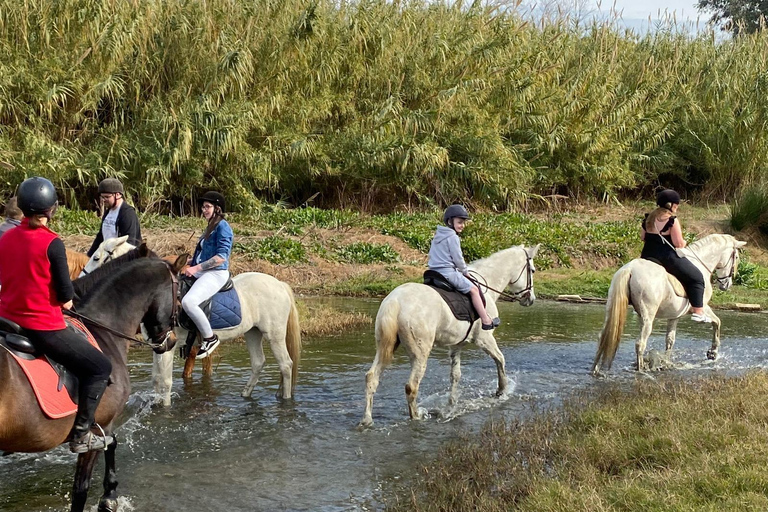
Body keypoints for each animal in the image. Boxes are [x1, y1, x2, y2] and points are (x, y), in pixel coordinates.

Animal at [0, 254, 185, 510]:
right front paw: (109, 497)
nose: (172, 341)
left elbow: (112, 444)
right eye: (179, 297)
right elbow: (82, 486)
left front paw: (110, 495)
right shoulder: (100, 426)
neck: (103, 328)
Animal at [152, 270, 302, 406]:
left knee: (286, 365)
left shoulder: (168, 348)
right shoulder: (158, 347)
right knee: (258, 362)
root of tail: (279, 284)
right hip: (252, 332)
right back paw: (245, 395)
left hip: (275, 336)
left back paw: (286, 399)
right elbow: (156, 379)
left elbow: (165, 382)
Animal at [592, 234, 744, 374]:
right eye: (736, 258)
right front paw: (713, 353)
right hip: (648, 316)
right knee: (640, 344)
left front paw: (667, 362)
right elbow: (717, 322)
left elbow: (670, 341)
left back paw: (595, 369)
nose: (726, 285)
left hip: (612, 308)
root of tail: (630, 269)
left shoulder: (674, 316)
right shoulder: (702, 306)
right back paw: (641, 371)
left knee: (602, 337)